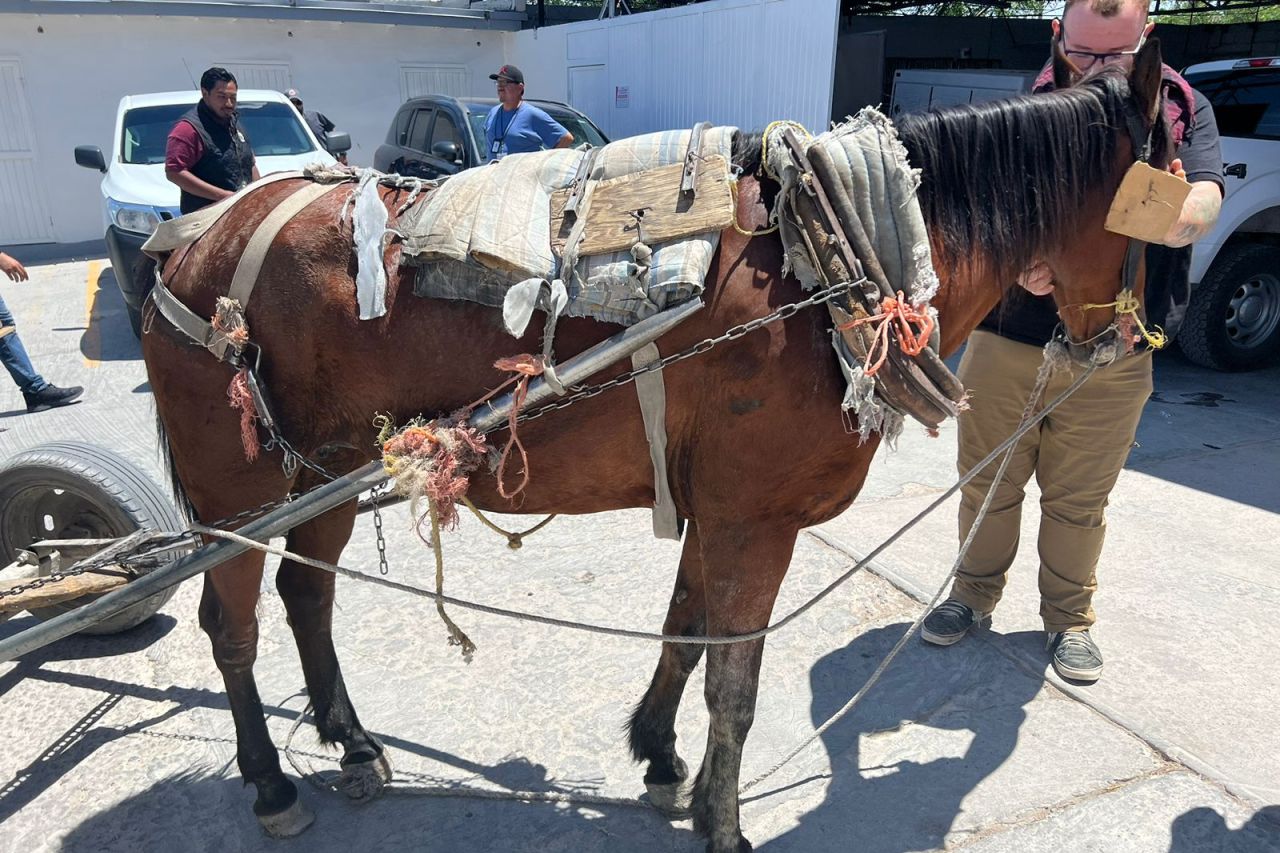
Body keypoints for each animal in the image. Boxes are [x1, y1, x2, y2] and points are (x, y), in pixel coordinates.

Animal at [140, 44, 1172, 850]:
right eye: (1169, 184)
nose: (1127, 335)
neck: (824, 270)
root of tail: (192, 241)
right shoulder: (756, 522)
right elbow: (735, 685)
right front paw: (724, 821)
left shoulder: (715, 511)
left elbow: (684, 633)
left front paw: (663, 756)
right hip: (240, 491)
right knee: (231, 624)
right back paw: (270, 780)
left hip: (325, 472)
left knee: (305, 594)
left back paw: (351, 741)